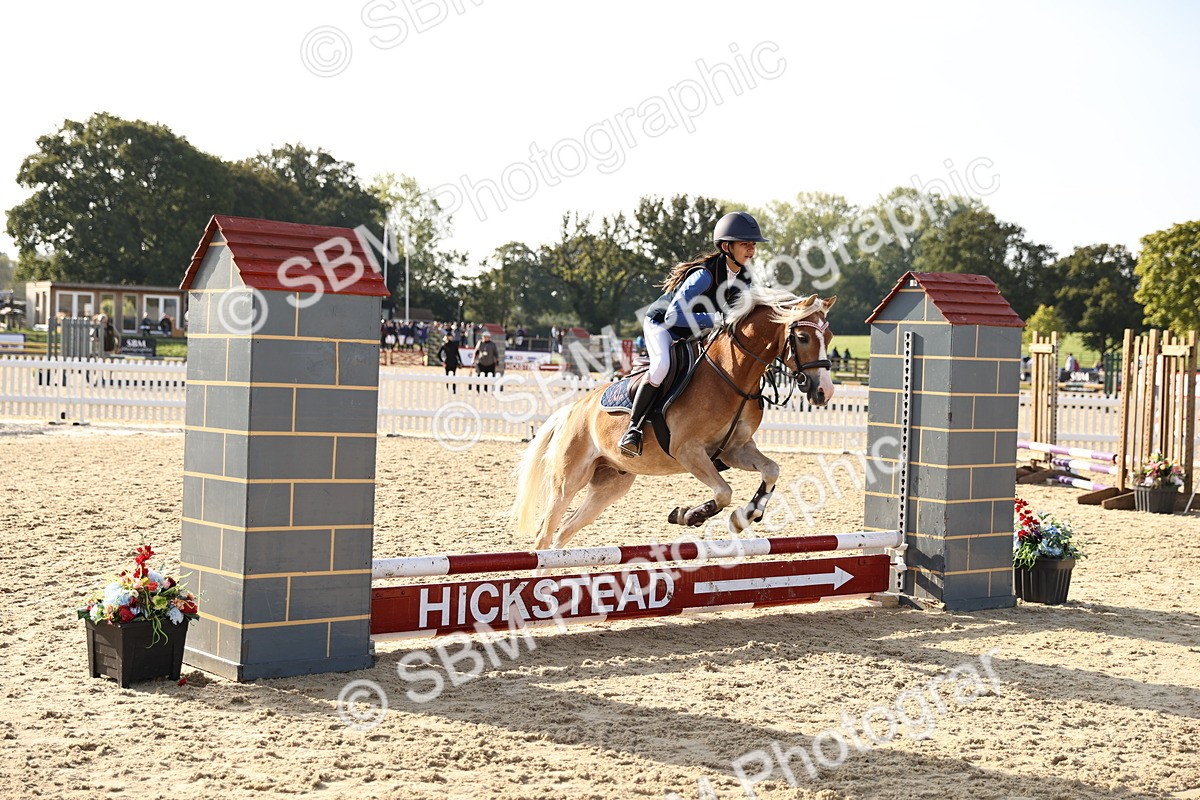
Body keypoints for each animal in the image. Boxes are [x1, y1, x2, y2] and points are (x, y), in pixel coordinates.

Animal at [512, 287, 837, 551]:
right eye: (803, 337)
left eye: (830, 337)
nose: (824, 392)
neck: (731, 375)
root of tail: (572, 410)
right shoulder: (688, 451)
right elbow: (723, 492)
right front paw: (689, 515)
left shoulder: (734, 450)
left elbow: (771, 471)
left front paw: (745, 516)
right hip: (568, 481)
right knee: (546, 531)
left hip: (610, 484)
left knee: (564, 531)